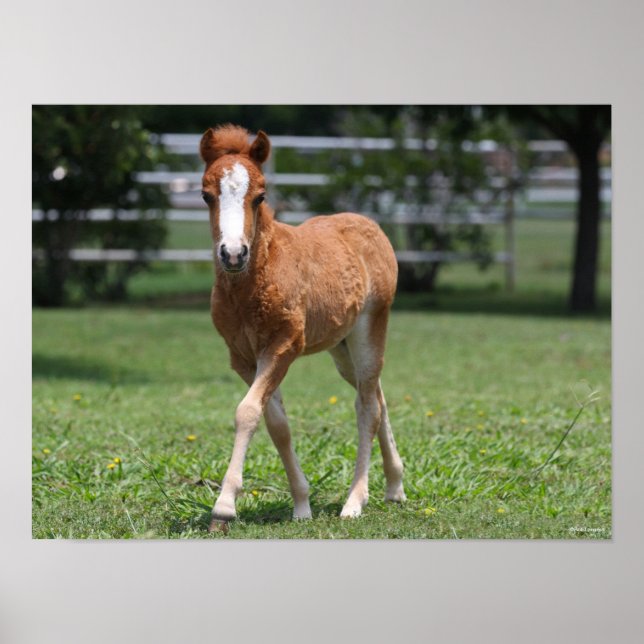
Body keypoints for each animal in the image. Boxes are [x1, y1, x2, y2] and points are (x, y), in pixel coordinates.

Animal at [199, 124, 406, 531]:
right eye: (206, 195)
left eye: (260, 196)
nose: (233, 254)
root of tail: (371, 225)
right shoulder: (243, 357)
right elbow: (276, 424)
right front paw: (301, 504)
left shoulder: (283, 346)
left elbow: (247, 412)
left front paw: (224, 507)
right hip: (341, 347)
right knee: (377, 394)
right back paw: (395, 486)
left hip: (370, 328)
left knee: (367, 407)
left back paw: (355, 501)